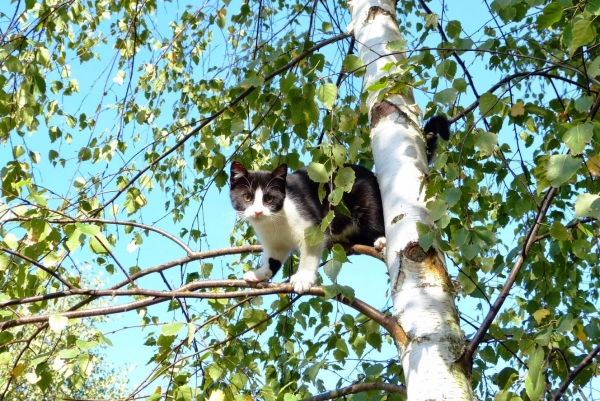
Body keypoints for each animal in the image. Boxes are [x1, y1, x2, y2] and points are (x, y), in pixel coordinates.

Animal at [230, 114, 450, 292]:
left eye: (269, 198)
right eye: (247, 198)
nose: (258, 212)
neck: (275, 222)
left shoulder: (311, 226)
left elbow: (310, 253)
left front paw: (303, 278)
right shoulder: (273, 243)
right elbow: (272, 260)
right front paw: (259, 273)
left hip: (366, 199)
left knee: (375, 218)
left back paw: (381, 239)